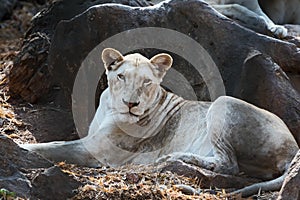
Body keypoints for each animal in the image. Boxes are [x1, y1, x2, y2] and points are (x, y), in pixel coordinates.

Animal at [20, 48, 298, 197]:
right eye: (121, 76)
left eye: (146, 82)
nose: (131, 104)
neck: (110, 106)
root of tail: (294, 149)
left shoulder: (95, 151)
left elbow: (53, 146)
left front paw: (21, 148)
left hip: (222, 103)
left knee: (228, 164)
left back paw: (174, 158)